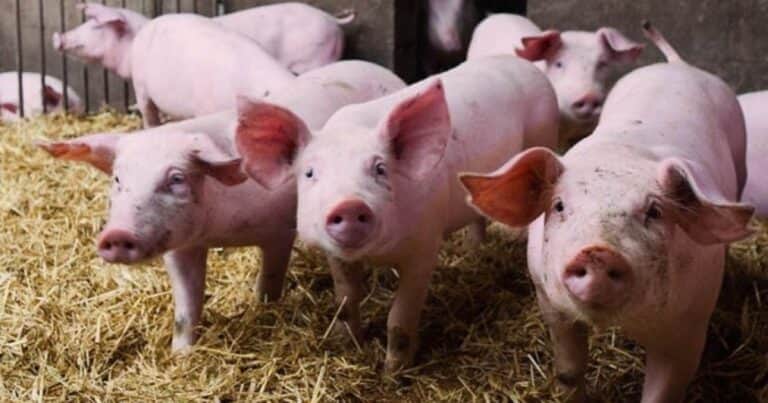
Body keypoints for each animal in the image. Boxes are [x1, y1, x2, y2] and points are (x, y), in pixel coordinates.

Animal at [37, 60, 406, 352]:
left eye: (176, 179)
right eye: (117, 179)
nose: (116, 234)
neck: (219, 231)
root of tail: (382, 70)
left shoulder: (279, 230)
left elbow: (270, 279)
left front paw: (264, 307)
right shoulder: (181, 246)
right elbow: (186, 308)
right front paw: (181, 354)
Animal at [234, 55, 559, 372]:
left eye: (380, 169)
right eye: (310, 173)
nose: (349, 205)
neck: (377, 254)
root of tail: (526, 66)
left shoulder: (425, 247)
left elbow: (399, 318)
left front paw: (394, 373)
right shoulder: (336, 256)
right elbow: (345, 300)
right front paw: (347, 343)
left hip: (543, 135)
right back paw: (472, 250)